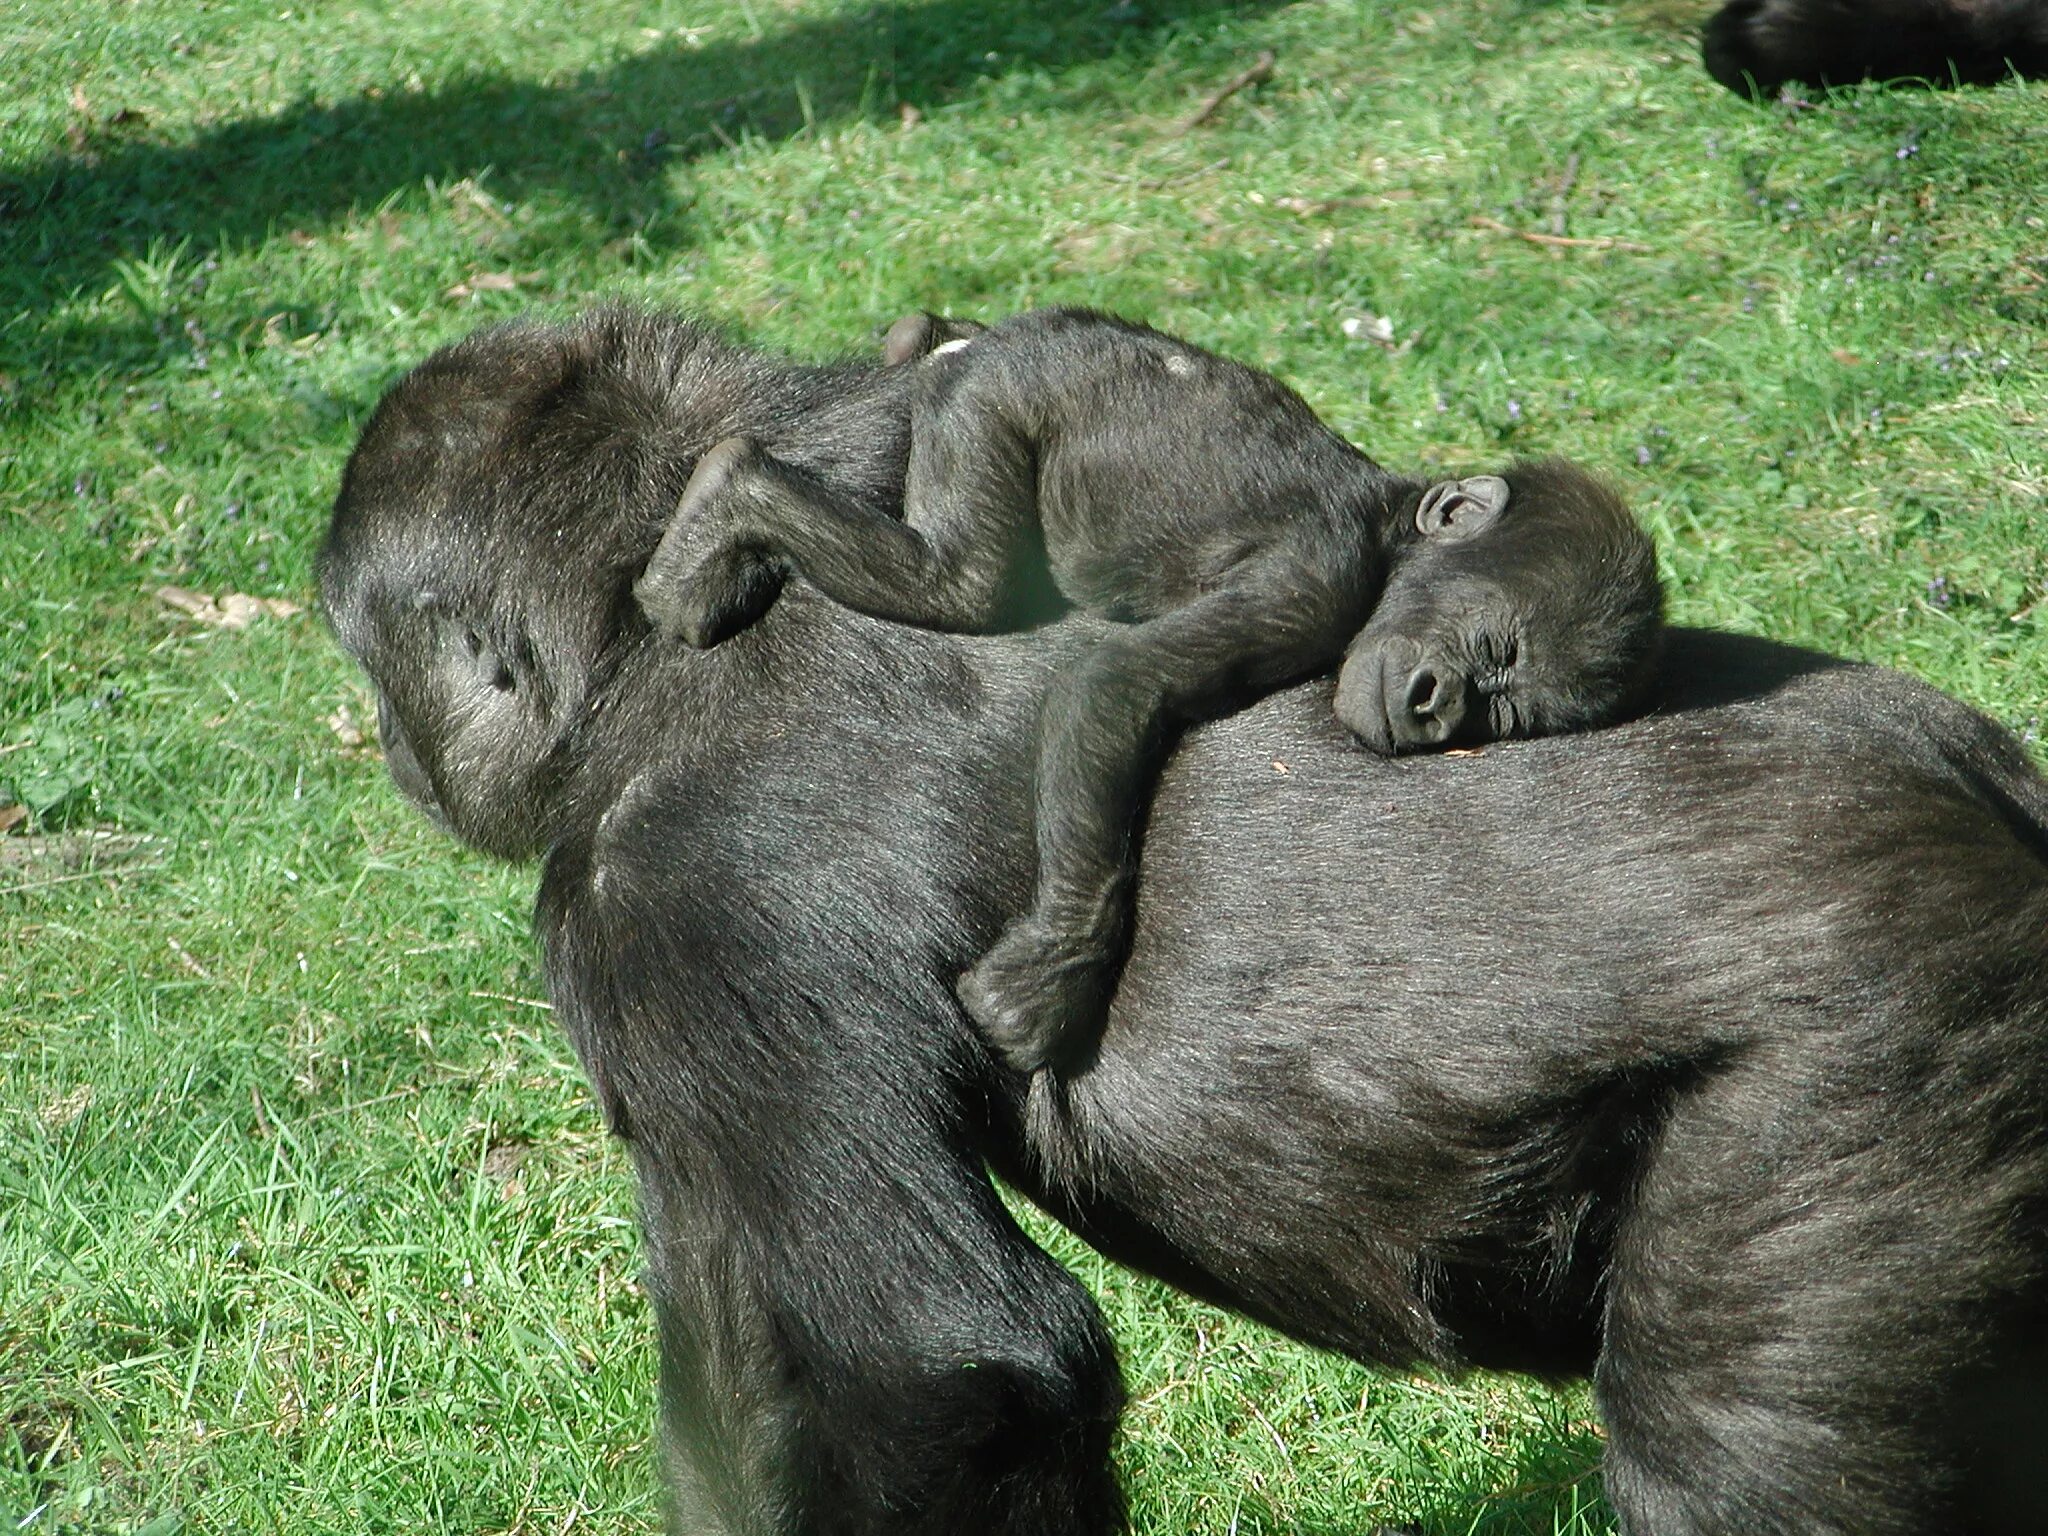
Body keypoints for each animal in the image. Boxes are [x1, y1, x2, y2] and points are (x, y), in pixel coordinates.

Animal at [638, 311, 1662, 1073]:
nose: (1438, 702)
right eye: (1489, 647)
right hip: (991, 403)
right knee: (961, 582)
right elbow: (1117, 683)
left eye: (1508, 706)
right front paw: (1059, 966)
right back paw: (728, 493)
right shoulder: (1308, 583)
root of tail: (1006, 337)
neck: (1387, 529)